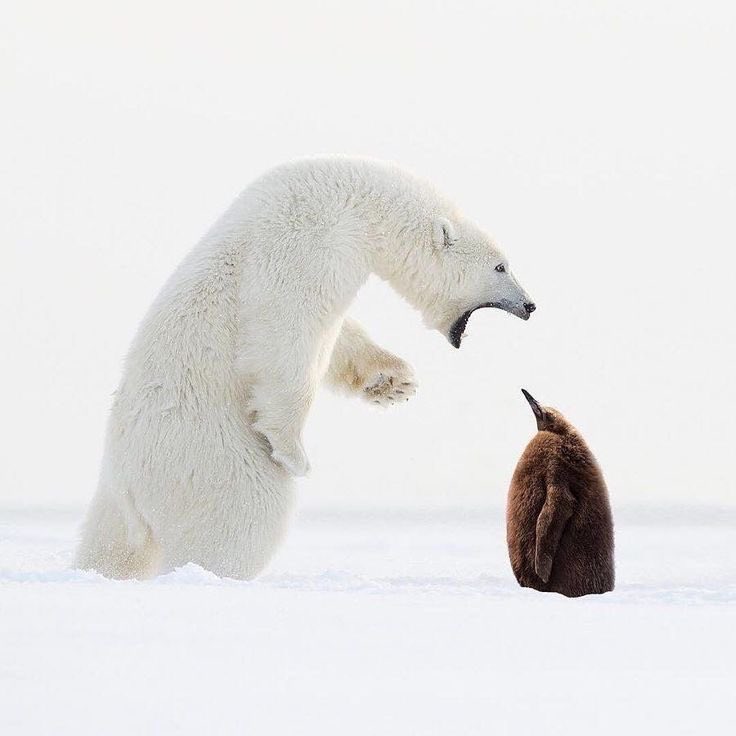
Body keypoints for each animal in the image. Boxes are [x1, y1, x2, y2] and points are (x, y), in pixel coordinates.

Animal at [76, 156, 536, 580]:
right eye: (501, 266)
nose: (530, 305)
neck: (355, 202)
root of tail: (125, 480)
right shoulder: (304, 241)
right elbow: (288, 333)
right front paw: (294, 451)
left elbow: (337, 336)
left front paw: (394, 381)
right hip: (206, 453)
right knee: (245, 515)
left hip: (119, 502)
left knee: (112, 545)